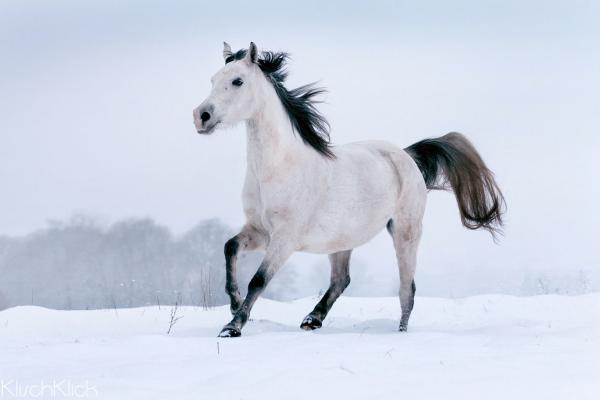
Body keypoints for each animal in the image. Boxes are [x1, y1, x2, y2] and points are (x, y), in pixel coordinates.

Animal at [192, 43, 502, 338]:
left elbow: (259, 279)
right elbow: (229, 247)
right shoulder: (260, 231)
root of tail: (406, 155)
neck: (278, 168)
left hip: (405, 231)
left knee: (407, 289)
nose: (201, 116)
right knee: (342, 279)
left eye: (237, 81)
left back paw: (399, 332)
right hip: (341, 239)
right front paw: (234, 303)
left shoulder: (285, 238)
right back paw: (312, 319)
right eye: (213, 80)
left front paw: (232, 327)